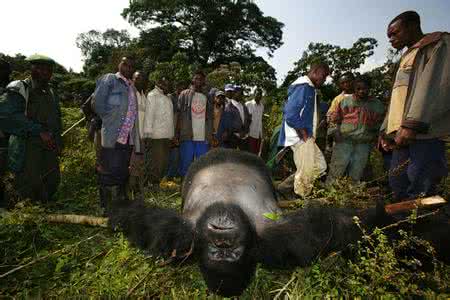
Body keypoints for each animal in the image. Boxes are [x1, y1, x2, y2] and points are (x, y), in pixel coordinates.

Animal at [110, 149, 450, 296]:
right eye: (216, 249)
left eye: (231, 249)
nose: (222, 236)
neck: (228, 204)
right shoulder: (179, 234)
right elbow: (138, 219)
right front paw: (114, 203)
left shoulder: (278, 237)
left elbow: (346, 226)